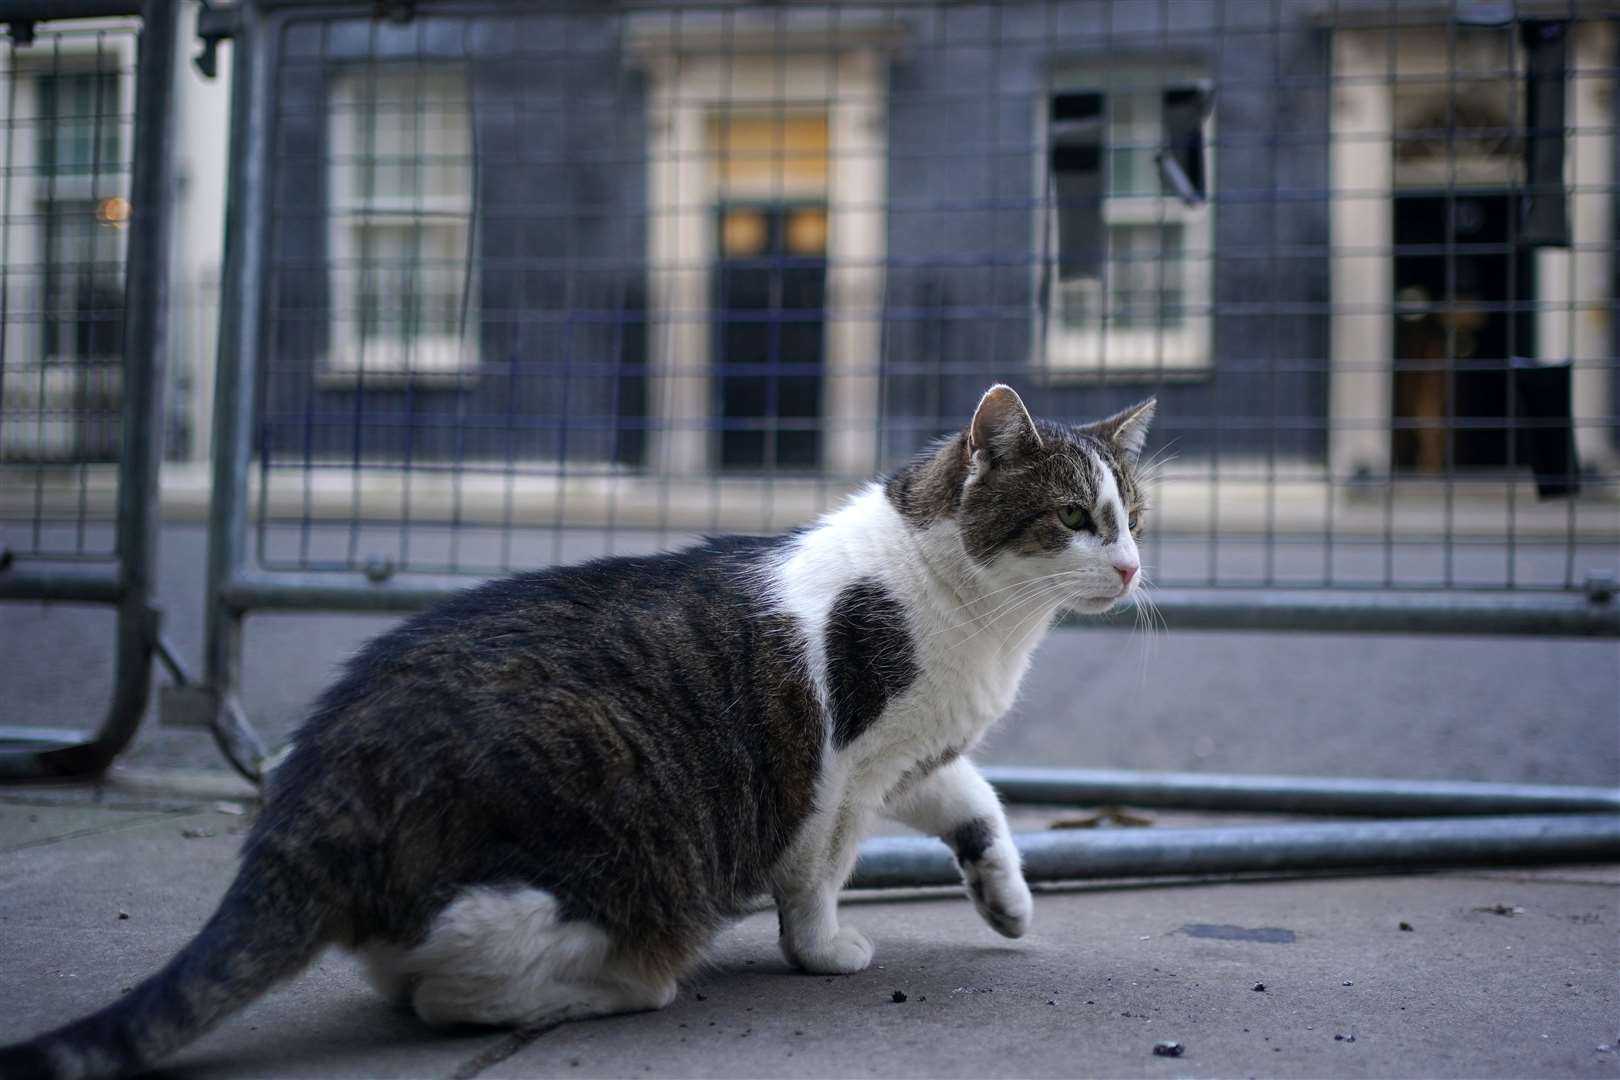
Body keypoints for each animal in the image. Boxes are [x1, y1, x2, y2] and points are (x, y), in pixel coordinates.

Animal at [6, 383, 1159, 1075]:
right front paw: (825, 948)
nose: (1135, 566)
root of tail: (320, 785)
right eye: (1072, 518)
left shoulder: (915, 749)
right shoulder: (844, 768)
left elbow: (978, 799)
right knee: (443, 979)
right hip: (606, 835)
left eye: (1133, 514)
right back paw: (612, 986)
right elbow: (818, 875)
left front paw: (1006, 898)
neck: (979, 619)